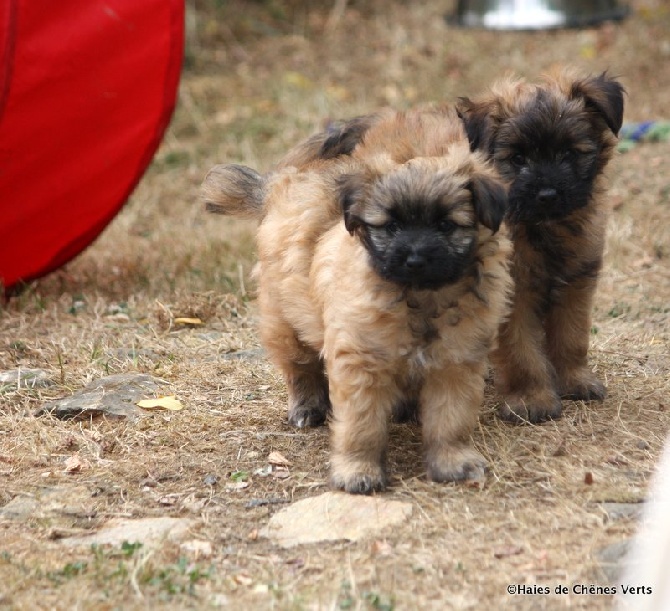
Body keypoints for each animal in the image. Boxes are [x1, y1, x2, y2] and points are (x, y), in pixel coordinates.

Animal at [202, 109, 512, 492]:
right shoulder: (360, 364)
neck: (419, 299)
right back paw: (307, 408)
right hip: (286, 321)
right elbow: (361, 425)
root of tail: (281, 185)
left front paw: (452, 463)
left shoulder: (455, 361)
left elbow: (450, 420)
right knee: (300, 368)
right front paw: (358, 471)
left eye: (445, 225)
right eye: (391, 226)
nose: (415, 259)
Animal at [460, 69, 628, 424]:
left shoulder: (576, 284)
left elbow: (571, 337)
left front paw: (573, 380)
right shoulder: (513, 297)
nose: (547, 195)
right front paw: (532, 398)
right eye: (518, 158)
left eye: (568, 153)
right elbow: (521, 352)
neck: (543, 231)